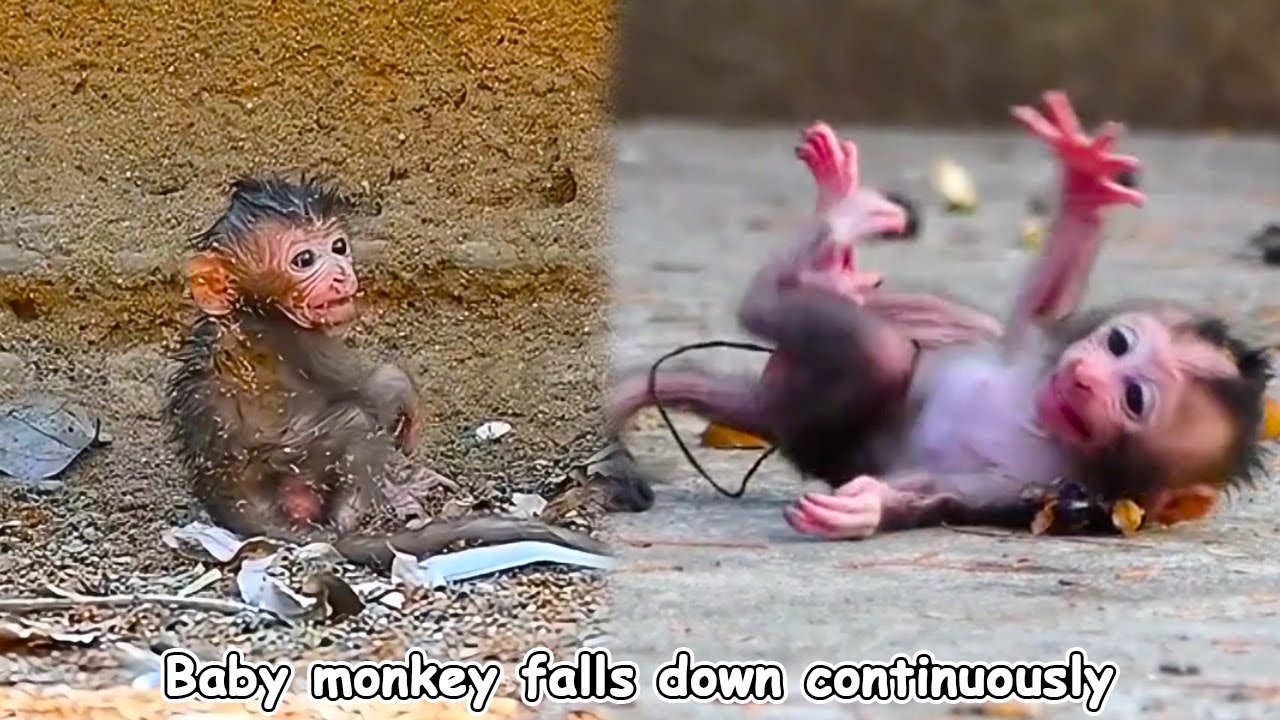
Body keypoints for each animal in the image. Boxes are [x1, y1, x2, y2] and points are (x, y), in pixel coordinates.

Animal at [164, 174, 608, 566]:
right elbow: (374, 390)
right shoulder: (299, 340)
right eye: (304, 259)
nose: (341, 274)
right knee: (356, 421)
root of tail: (239, 509)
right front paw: (403, 399)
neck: (250, 309)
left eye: (338, 246)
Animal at [606, 91, 1272, 538]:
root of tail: (764, 409)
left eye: (1132, 397)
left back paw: (812, 262)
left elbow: (940, 492)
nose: (1083, 377)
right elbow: (1040, 306)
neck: (1036, 418)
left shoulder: (1039, 486)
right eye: (1117, 344)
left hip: (805, 409)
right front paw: (1085, 185)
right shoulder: (1035, 350)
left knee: (852, 344)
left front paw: (866, 506)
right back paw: (833, 244)